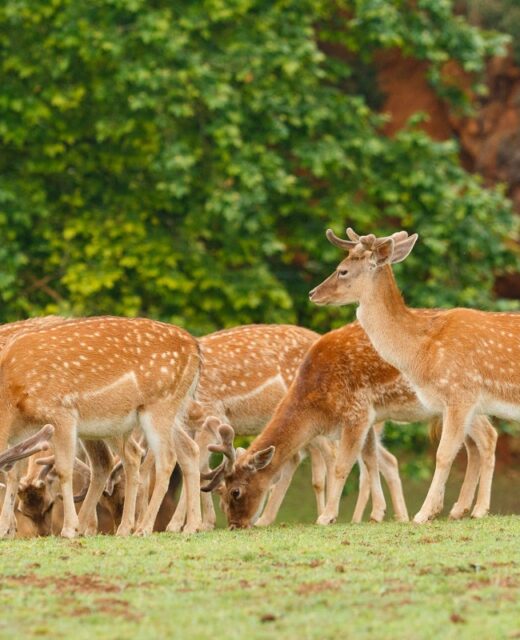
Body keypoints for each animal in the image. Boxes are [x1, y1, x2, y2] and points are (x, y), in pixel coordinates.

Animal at [0, 315, 202, 538]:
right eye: (23, 511)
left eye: (50, 506)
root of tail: (195, 346)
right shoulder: (19, 437)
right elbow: (14, 474)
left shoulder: (62, 412)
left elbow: (63, 470)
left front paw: (68, 529)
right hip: (162, 412)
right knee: (186, 450)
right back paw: (186, 526)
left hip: (158, 405)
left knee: (165, 459)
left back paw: (143, 528)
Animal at [167, 324, 409, 531]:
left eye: (235, 493)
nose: (234, 524)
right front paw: (203, 523)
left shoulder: (211, 412)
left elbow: (192, 462)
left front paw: (180, 525)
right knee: (384, 459)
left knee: (332, 457)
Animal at [200, 322, 497, 529]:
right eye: (221, 491)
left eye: (236, 491)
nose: (234, 525)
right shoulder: (369, 415)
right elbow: (370, 460)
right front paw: (377, 514)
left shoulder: (356, 411)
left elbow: (344, 465)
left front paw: (327, 516)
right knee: (472, 446)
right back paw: (458, 509)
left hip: (461, 396)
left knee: (488, 436)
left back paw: (478, 509)